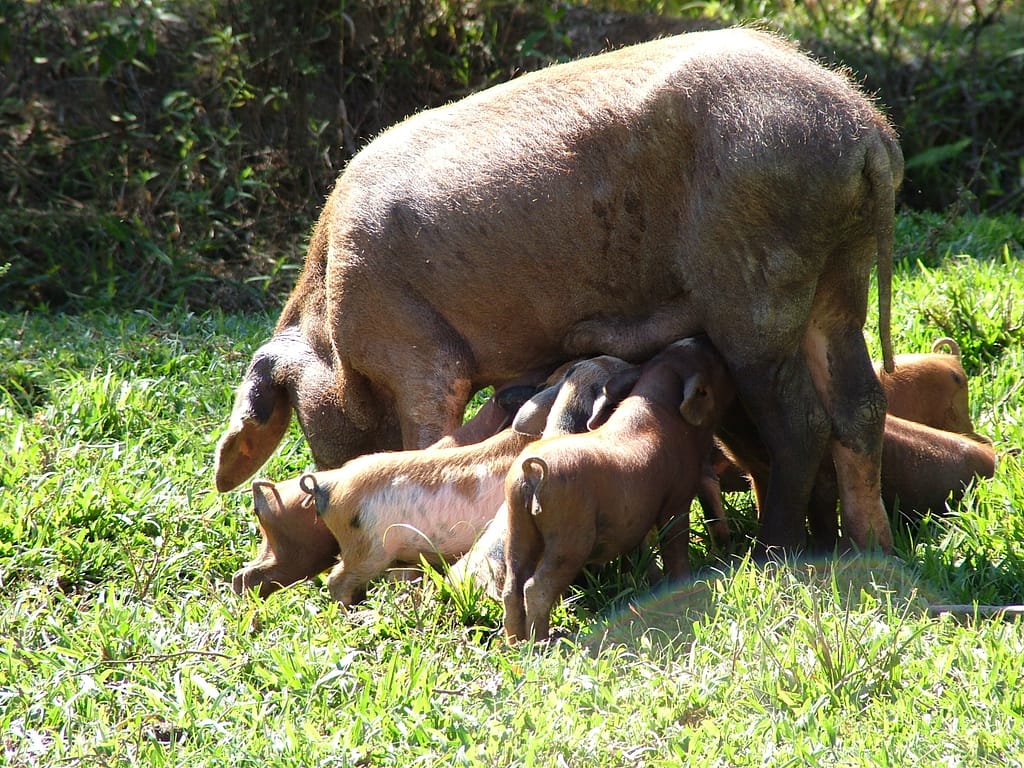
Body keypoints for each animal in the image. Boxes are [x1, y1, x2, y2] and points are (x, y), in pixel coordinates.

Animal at [211, 30, 901, 557]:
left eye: (299, 412)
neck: (329, 323)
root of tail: (865, 131)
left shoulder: (417, 351)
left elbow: (428, 432)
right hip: (839, 274)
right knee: (860, 404)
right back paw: (867, 547)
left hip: (755, 284)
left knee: (801, 422)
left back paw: (777, 549)